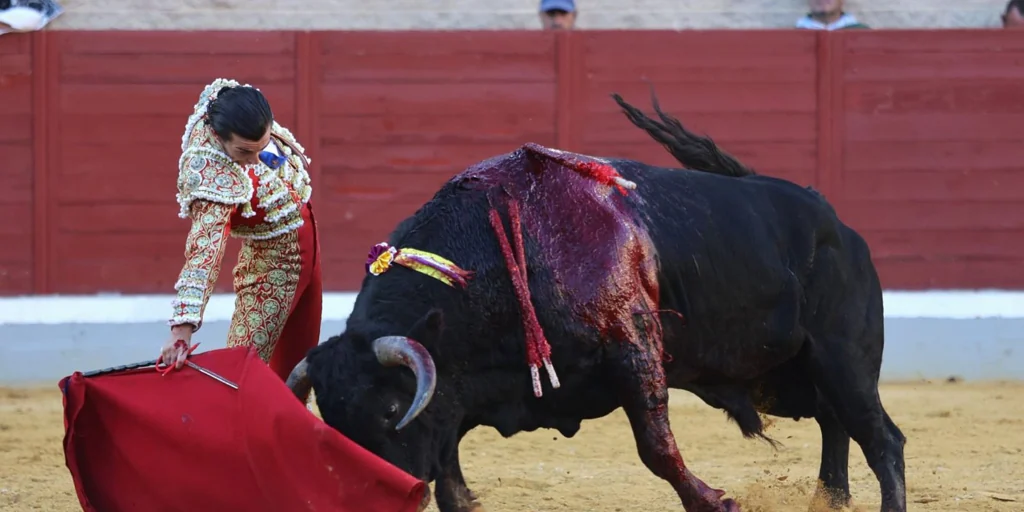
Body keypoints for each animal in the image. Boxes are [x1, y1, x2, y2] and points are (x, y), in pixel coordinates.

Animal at [284, 92, 909, 512]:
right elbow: (448, 446)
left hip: (843, 359)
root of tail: (830, 216)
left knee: (881, 438)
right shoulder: (470, 381)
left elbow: (656, 447)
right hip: (789, 376)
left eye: (391, 410)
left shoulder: (632, 346)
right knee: (835, 423)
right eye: (333, 422)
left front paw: (716, 500)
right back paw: (829, 498)